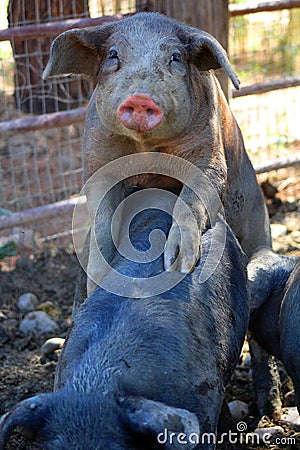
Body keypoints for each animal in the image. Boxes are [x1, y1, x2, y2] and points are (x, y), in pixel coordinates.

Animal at [42, 12, 272, 298]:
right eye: (113, 55)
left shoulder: (209, 154)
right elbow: (101, 216)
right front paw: (96, 284)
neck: (147, 149)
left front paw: (177, 264)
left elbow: (194, 195)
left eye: (175, 57)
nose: (140, 98)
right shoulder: (98, 157)